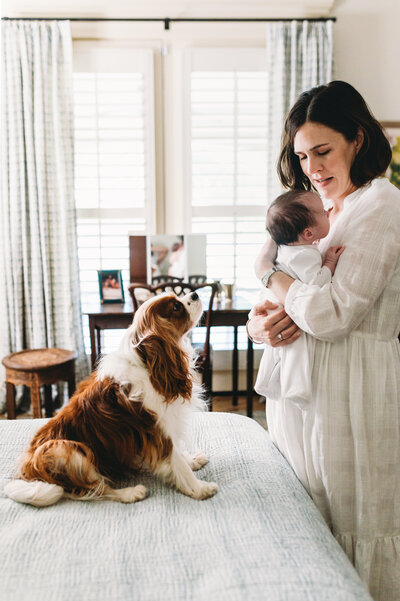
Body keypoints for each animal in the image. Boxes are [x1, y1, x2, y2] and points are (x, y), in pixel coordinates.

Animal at [3, 290, 219, 502]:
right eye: (176, 306)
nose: (195, 294)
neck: (148, 363)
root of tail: (27, 470)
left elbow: (180, 457)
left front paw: (191, 460)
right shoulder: (158, 432)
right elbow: (177, 462)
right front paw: (199, 488)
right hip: (64, 449)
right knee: (92, 489)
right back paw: (131, 493)